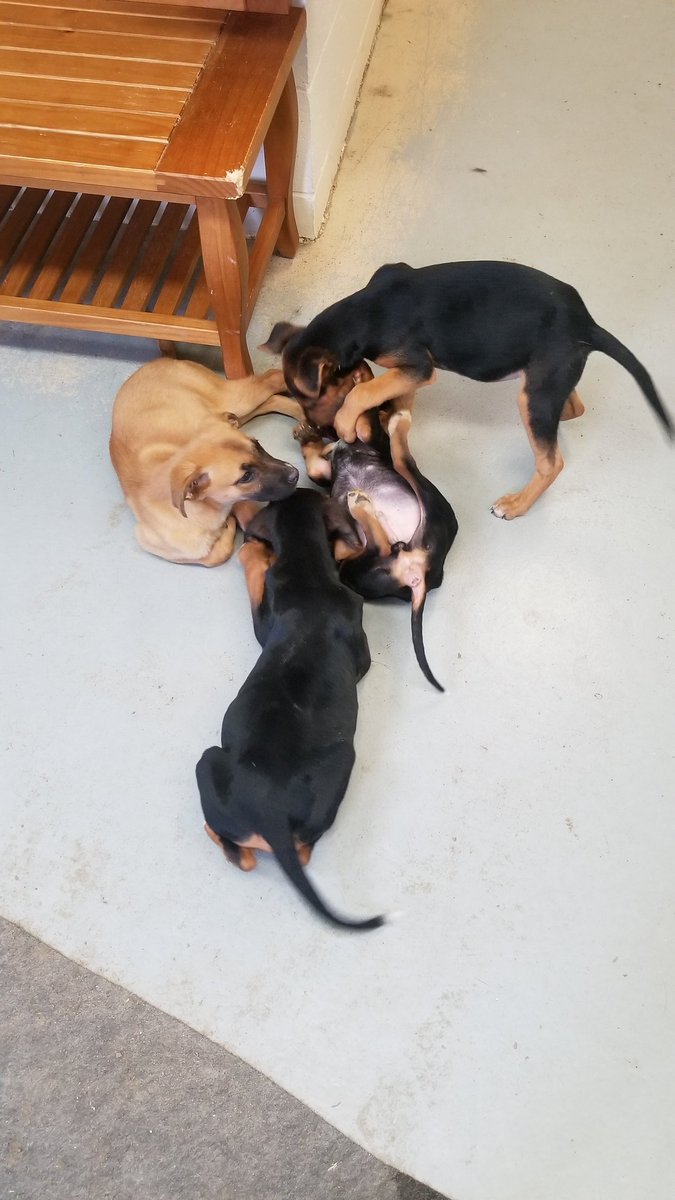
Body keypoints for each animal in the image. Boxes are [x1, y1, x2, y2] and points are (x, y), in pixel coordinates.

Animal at [109, 355, 299, 566]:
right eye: (246, 477)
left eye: (257, 445)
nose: (295, 474)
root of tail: (156, 361)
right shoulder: (154, 542)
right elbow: (216, 555)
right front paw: (229, 529)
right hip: (227, 412)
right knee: (270, 399)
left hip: (234, 400)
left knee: (272, 378)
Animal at [195, 492, 384, 931]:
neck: (307, 566)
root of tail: (273, 816)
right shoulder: (362, 653)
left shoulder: (264, 622)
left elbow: (256, 580)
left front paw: (255, 554)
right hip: (337, 773)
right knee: (301, 851)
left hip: (207, 760)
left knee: (242, 856)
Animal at [261, 260, 667, 518]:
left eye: (311, 396)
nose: (322, 432)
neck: (364, 312)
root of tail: (586, 325)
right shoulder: (410, 373)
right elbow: (392, 395)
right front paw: (389, 415)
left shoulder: (417, 366)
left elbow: (365, 392)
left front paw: (351, 422)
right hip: (545, 380)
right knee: (573, 407)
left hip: (534, 398)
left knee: (552, 462)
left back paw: (516, 504)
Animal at [295, 403, 456, 691]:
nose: (320, 428)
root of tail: (422, 574)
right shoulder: (329, 466)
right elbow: (319, 460)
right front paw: (309, 435)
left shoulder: (357, 447)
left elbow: (356, 430)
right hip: (368, 563)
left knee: (402, 464)